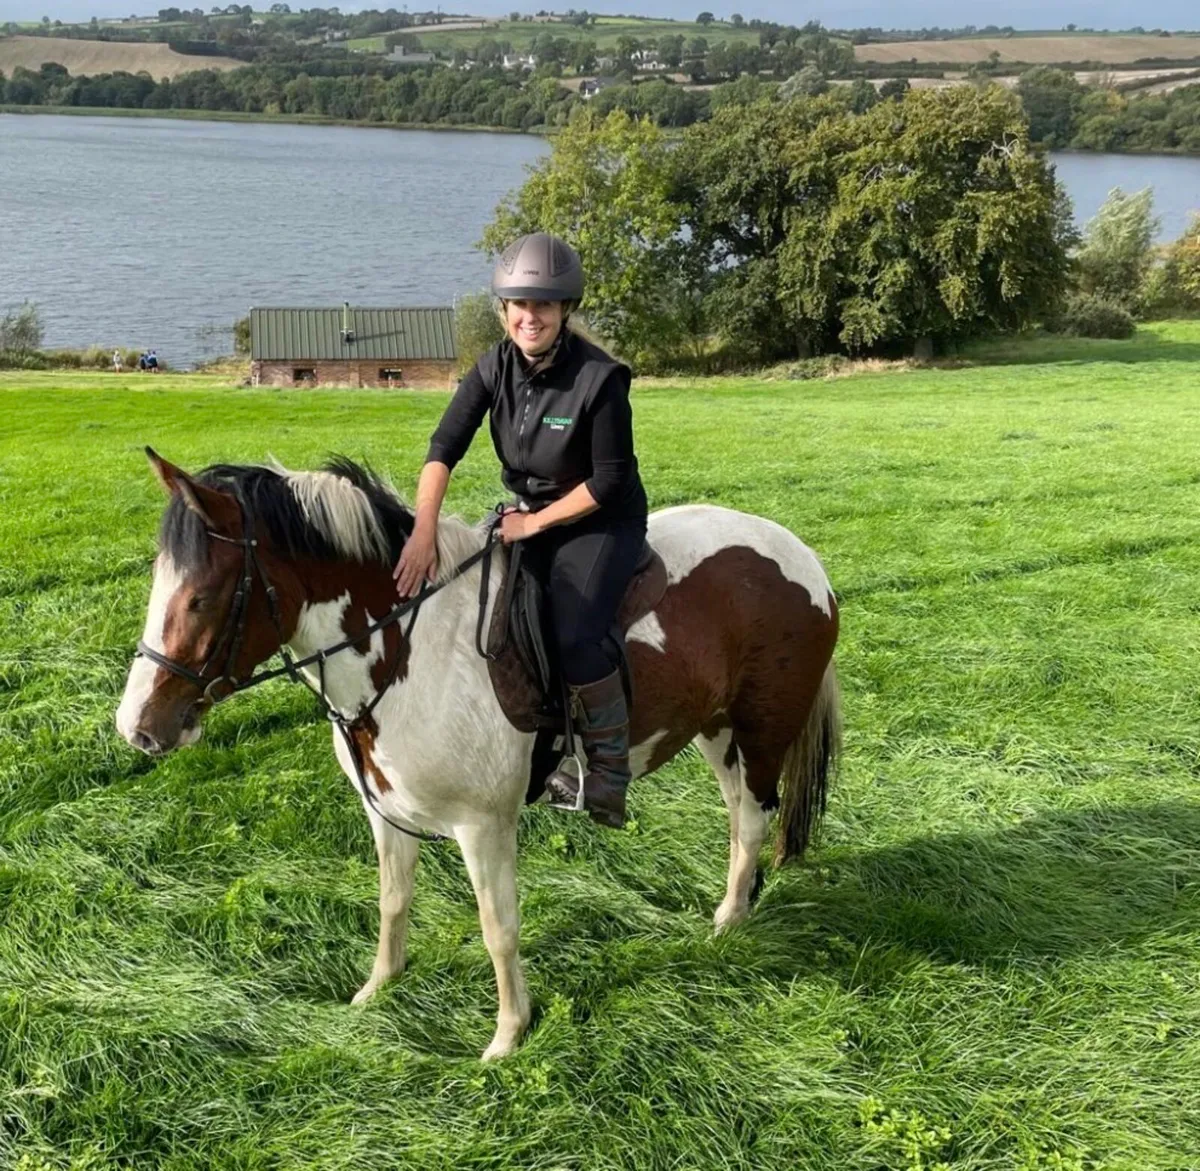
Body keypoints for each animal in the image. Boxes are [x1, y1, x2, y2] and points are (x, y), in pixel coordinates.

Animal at [116, 450, 841, 1060]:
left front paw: (508, 1035)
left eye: (201, 598)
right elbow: (393, 901)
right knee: (739, 820)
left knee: (754, 820)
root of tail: (805, 559)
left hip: (760, 730)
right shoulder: (386, 814)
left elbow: (499, 926)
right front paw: (378, 987)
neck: (409, 648)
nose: (138, 727)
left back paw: (729, 923)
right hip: (717, 732)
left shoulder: (483, 826)